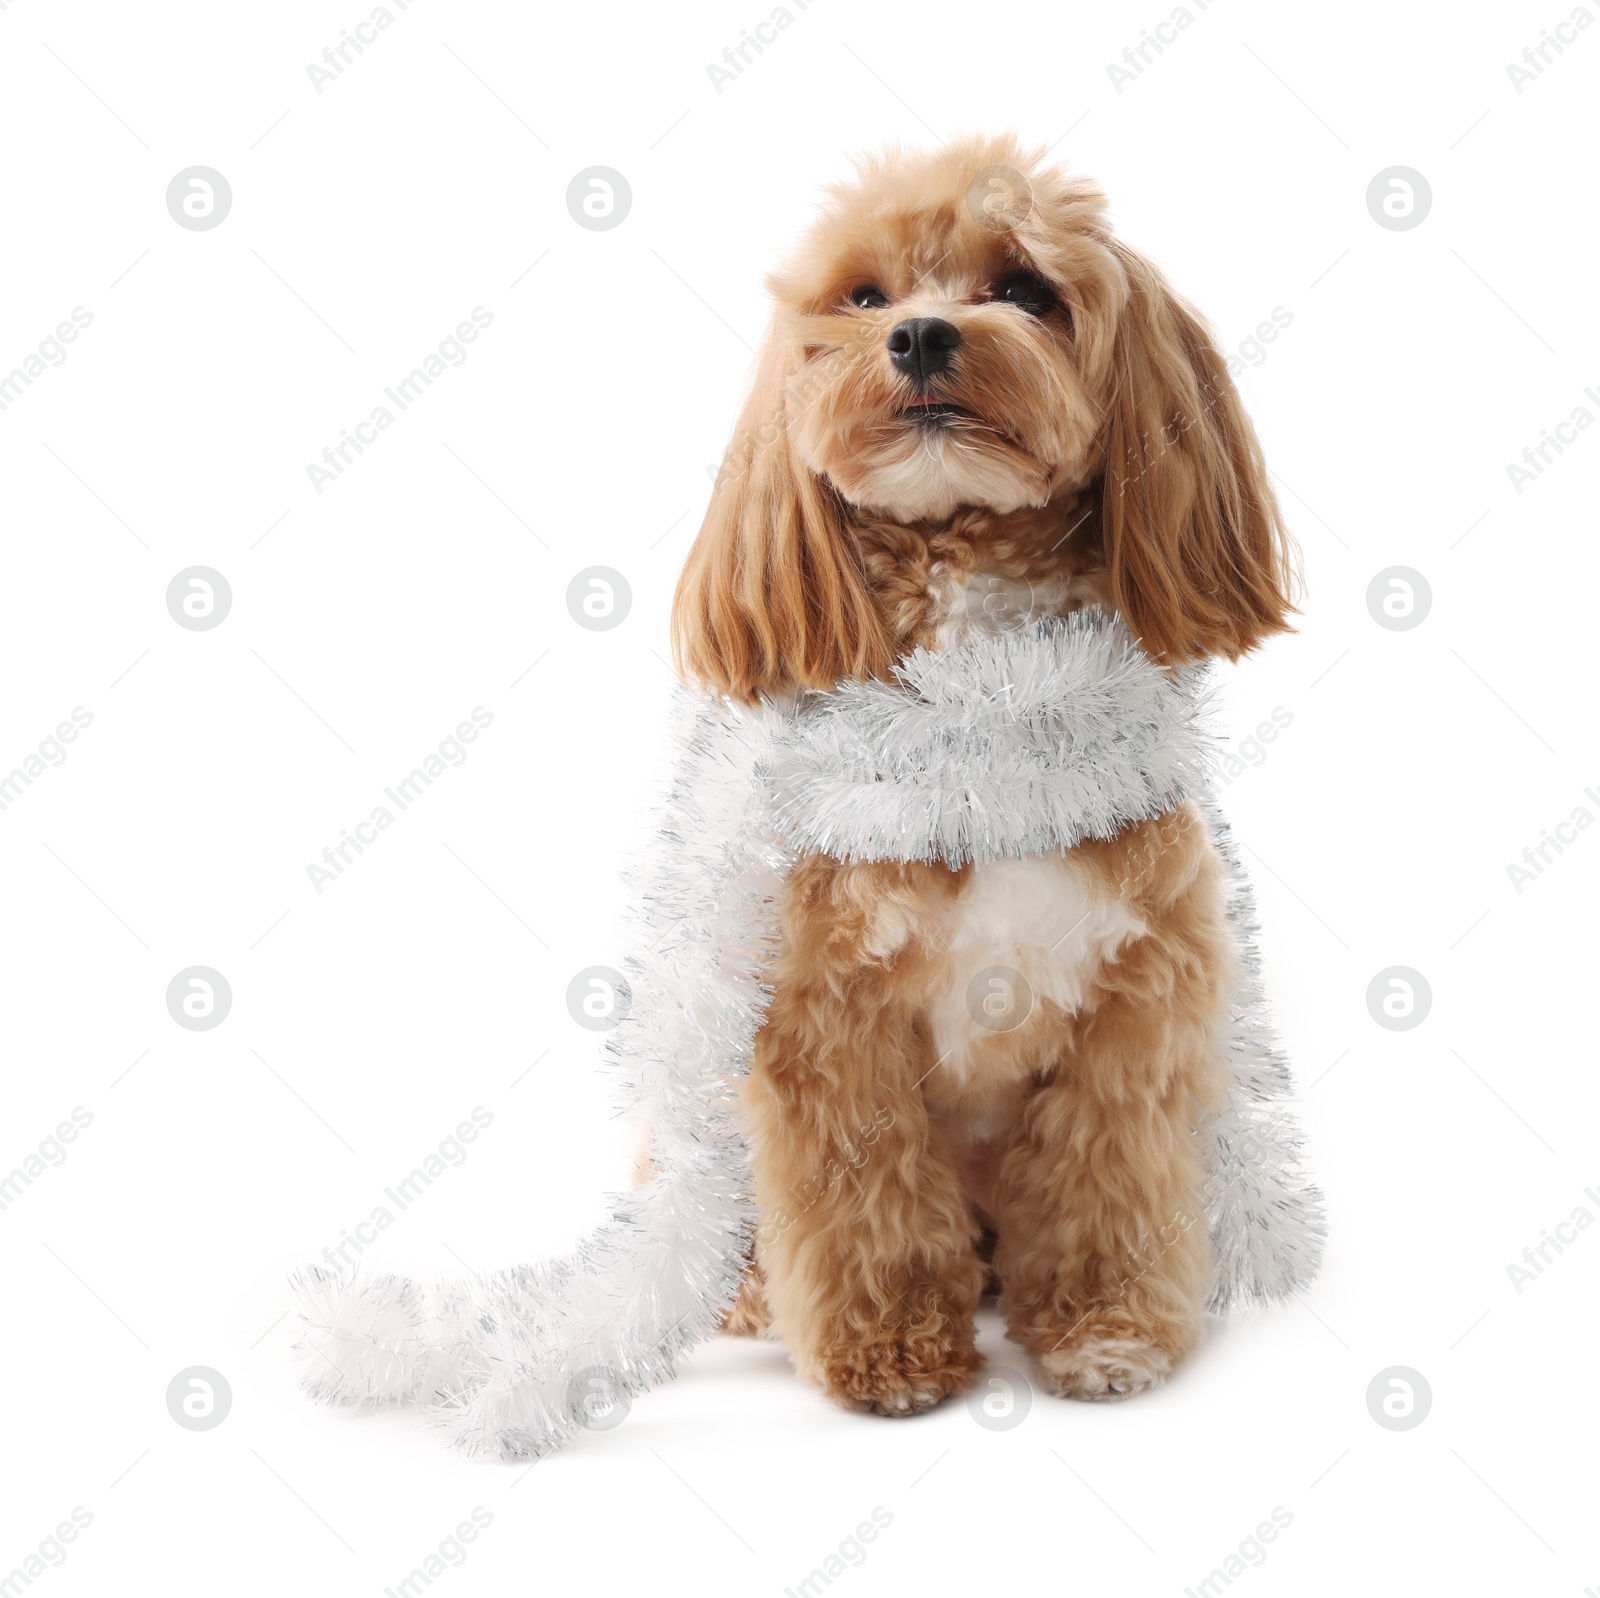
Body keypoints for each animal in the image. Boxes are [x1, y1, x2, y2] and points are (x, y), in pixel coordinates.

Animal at [668, 134, 1292, 1414]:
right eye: (863, 298)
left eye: (1022, 288)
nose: (918, 334)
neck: (986, 709)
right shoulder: (825, 1024)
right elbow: (864, 1208)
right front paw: (889, 1352)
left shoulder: (1133, 1010)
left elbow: (1106, 1184)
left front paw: (1108, 1327)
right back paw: (751, 1293)